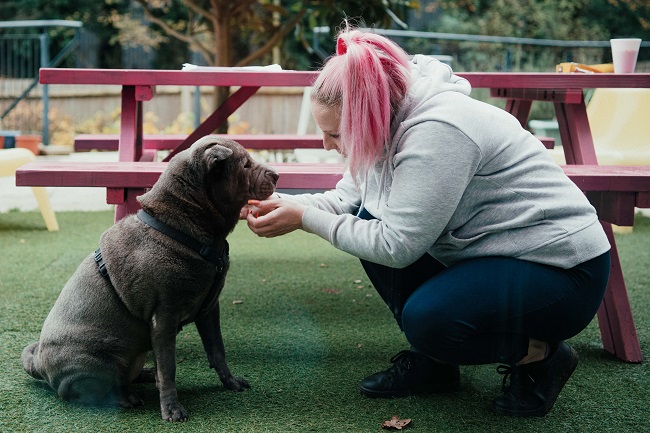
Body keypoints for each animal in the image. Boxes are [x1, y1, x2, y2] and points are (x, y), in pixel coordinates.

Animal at [20, 134, 276, 418]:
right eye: (245, 165)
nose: (276, 175)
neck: (181, 227)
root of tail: (38, 363)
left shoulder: (209, 309)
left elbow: (217, 350)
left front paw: (230, 382)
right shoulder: (164, 317)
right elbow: (169, 368)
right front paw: (172, 409)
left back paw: (145, 375)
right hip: (99, 362)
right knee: (90, 393)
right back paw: (126, 398)